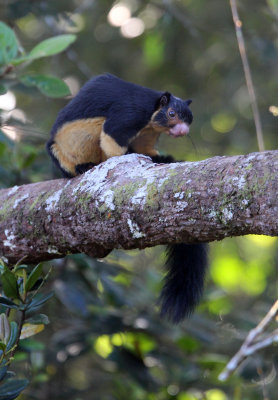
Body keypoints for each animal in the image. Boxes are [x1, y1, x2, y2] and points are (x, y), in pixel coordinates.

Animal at [46, 73, 207, 322]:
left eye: (189, 118)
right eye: (171, 114)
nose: (182, 131)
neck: (152, 114)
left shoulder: (147, 133)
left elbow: (144, 148)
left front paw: (158, 157)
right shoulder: (130, 113)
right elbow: (113, 137)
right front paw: (125, 157)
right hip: (60, 152)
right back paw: (84, 167)